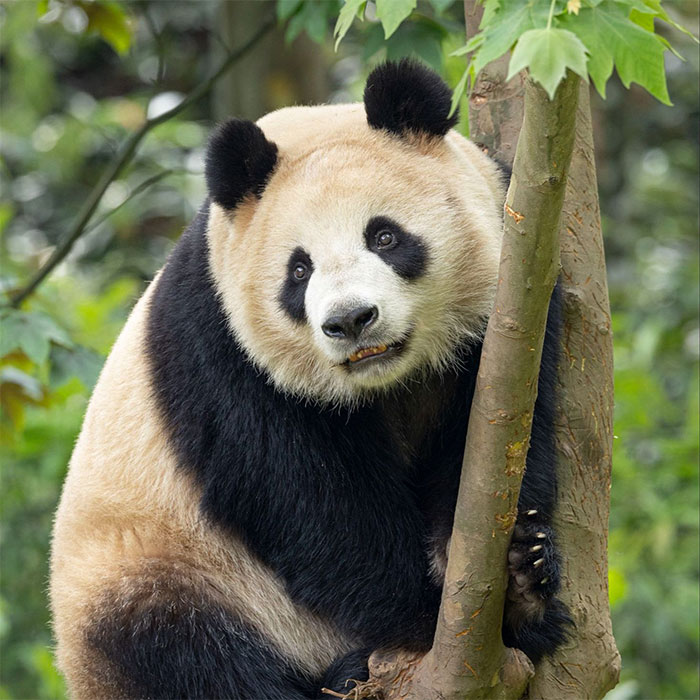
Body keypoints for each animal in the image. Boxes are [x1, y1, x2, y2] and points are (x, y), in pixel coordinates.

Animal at [50, 59, 569, 699]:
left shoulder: (516, 297)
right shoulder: (223, 348)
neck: (388, 382)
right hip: (157, 569)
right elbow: (310, 500)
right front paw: (427, 617)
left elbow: (500, 443)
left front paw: (520, 584)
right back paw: (341, 675)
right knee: (182, 655)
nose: (350, 320)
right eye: (299, 270)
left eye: (384, 236)